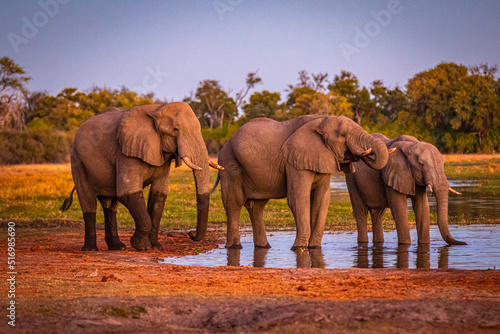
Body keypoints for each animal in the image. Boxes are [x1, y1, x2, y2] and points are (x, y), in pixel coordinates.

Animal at [59, 102, 220, 250]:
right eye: (175, 130)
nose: (191, 233)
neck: (157, 109)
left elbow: (159, 195)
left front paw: (156, 247)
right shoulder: (125, 152)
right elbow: (128, 193)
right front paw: (140, 246)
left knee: (110, 205)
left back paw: (118, 247)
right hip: (78, 160)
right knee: (88, 202)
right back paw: (91, 249)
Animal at [219, 113, 390, 249]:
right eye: (343, 135)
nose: (364, 153)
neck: (321, 119)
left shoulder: (321, 157)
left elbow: (322, 200)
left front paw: (314, 248)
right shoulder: (294, 162)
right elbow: (298, 199)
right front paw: (298, 248)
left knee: (257, 207)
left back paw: (264, 246)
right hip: (230, 165)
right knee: (234, 204)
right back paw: (234, 247)